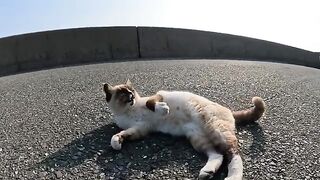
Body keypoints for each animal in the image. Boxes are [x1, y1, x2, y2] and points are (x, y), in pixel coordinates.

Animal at [102, 79, 264, 179]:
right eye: (123, 93)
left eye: (131, 90)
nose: (131, 96)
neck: (128, 111)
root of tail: (229, 110)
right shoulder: (140, 129)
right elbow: (119, 136)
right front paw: (117, 142)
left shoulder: (158, 96)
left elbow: (150, 103)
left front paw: (163, 109)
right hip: (197, 138)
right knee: (217, 154)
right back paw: (207, 172)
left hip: (216, 130)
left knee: (233, 153)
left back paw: (233, 177)